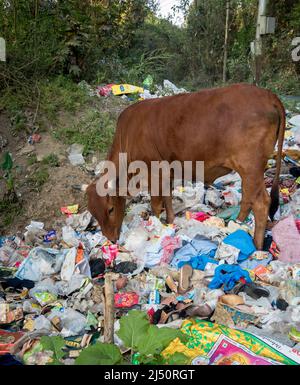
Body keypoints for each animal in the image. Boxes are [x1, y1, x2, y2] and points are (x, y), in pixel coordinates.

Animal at [85, 82, 284, 248]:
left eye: (110, 209)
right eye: (94, 214)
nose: (111, 239)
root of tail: (268, 95)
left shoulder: (154, 173)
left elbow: (156, 205)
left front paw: (156, 226)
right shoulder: (167, 174)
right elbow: (167, 199)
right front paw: (170, 222)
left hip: (251, 168)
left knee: (261, 203)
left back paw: (255, 244)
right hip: (250, 172)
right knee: (248, 198)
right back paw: (237, 224)